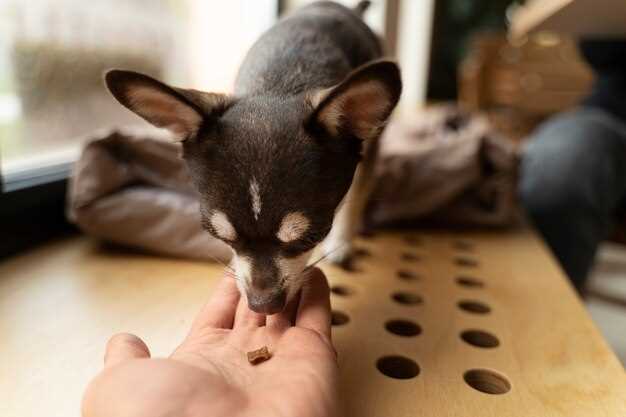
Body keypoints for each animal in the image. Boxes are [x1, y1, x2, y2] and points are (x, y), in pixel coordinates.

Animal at [103, 0, 400, 312]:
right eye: (220, 236)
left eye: (312, 236)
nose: (262, 305)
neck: (282, 82)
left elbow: (356, 196)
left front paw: (341, 240)